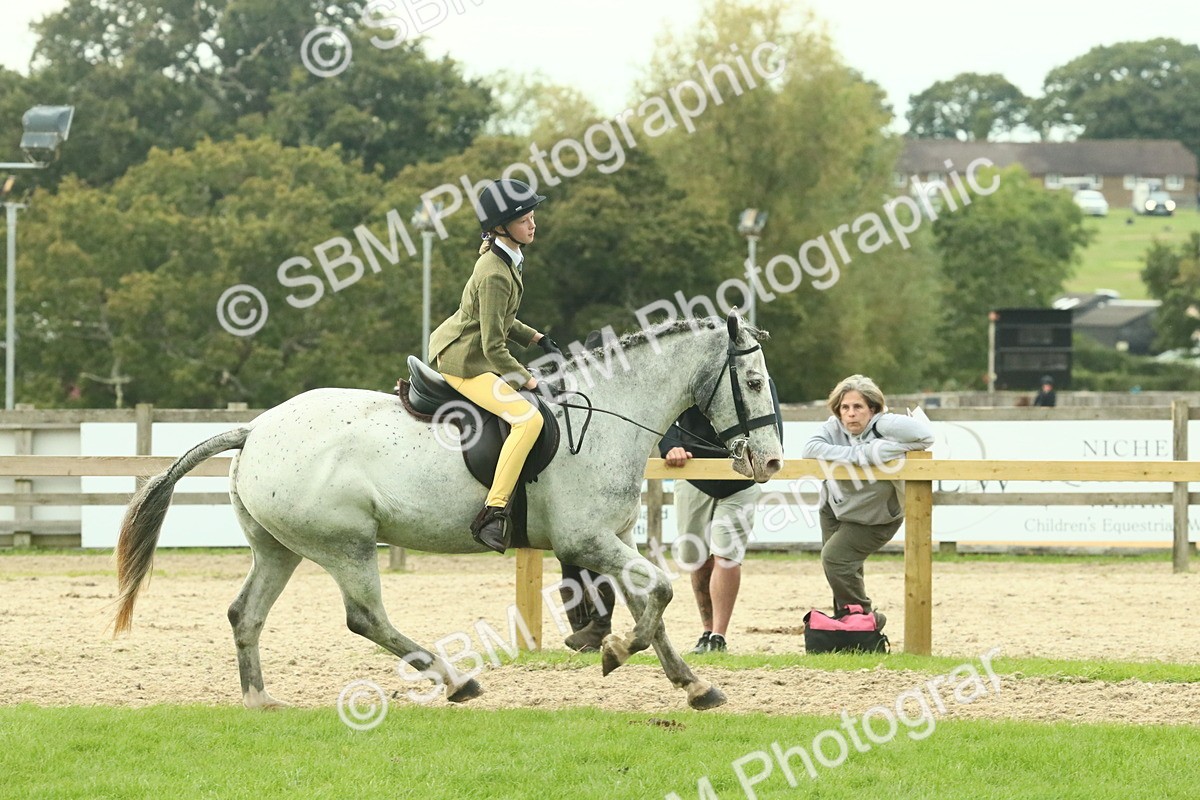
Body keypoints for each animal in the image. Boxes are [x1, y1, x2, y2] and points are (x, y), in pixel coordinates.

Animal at [112, 312, 784, 710]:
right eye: (752, 383)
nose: (771, 461)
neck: (607, 414)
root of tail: (254, 429)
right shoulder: (588, 539)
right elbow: (661, 595)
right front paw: (616, 651)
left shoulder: (611, 539)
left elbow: (655, 602)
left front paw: (693, 684)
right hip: (345, 544)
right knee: (365, 618)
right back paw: (457, 680)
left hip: (279, 549)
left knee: (245, 613)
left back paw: (259, 700)